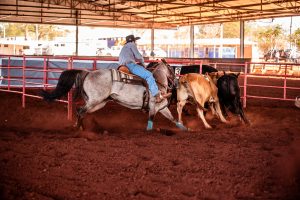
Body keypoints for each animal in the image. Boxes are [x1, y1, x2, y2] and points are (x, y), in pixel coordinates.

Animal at [39, 58, 185, 132]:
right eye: (171, 69)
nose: (176, 82)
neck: (157, 81)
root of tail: (88, 72)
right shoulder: (154, 106)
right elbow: (151, 118)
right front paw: (149, 131)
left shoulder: (162, 107)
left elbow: (172, 118)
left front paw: (184, 128)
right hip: (95, 101)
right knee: (80, 110)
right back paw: (80, 129)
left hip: (98, 103)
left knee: (80, 110)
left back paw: (78, 126)